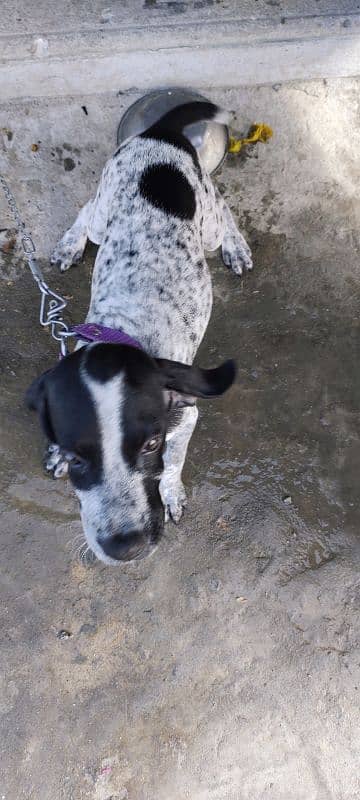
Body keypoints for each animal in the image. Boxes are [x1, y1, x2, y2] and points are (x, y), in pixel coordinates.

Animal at [26, 101, 252, 564]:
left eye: (150, 444)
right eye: (77, 457)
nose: (126, 546)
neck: (124, 331)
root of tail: (162, 132)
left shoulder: (185, 416)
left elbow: (173, 463)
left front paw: (171, 491)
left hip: (206, 224)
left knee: (224, 212)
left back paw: (236, 247)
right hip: (105, 209)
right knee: (87, 213)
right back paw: (70, 244)